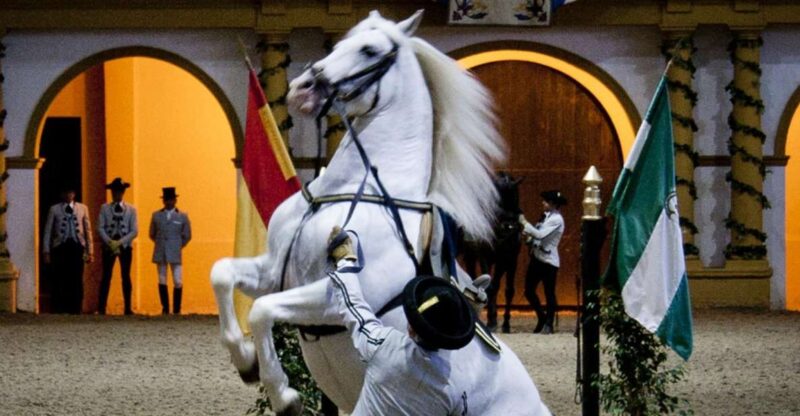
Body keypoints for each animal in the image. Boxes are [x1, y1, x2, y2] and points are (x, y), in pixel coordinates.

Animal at [211, 10, 549, 415]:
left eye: (369, 50)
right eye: (341, 42)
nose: (303, 89)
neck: (348, 192)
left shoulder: (334, 295)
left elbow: (261, 310)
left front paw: (284, 396)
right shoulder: (276, 272)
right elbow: (223, 275)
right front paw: (245, 360)